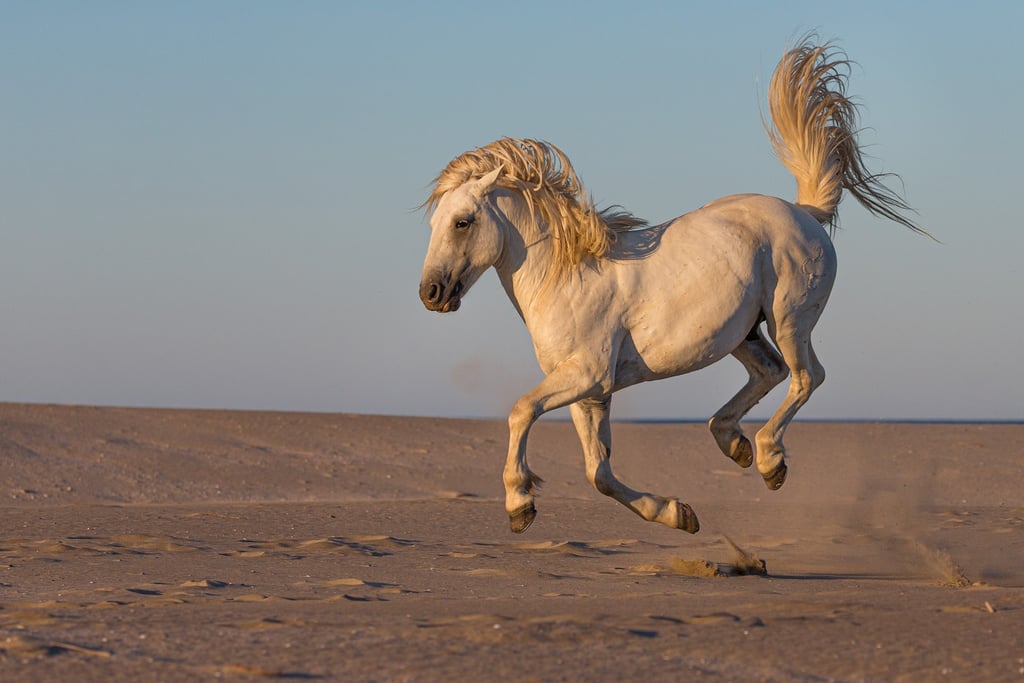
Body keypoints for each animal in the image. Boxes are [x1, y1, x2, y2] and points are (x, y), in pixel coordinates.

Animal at [418, 37, 926, 535]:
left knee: (806, 376)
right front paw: (678, 514)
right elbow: (599, 473)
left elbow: (522, 410)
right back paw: (734, 443)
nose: (430, 294)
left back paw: (768, 459)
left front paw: (519, 503)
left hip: (789, 319)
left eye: (462, 222)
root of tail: (805, 212)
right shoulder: (590, 393)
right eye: (434, 224)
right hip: (744, 332)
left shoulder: (587, 375)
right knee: (771, 372)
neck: (568, 278)